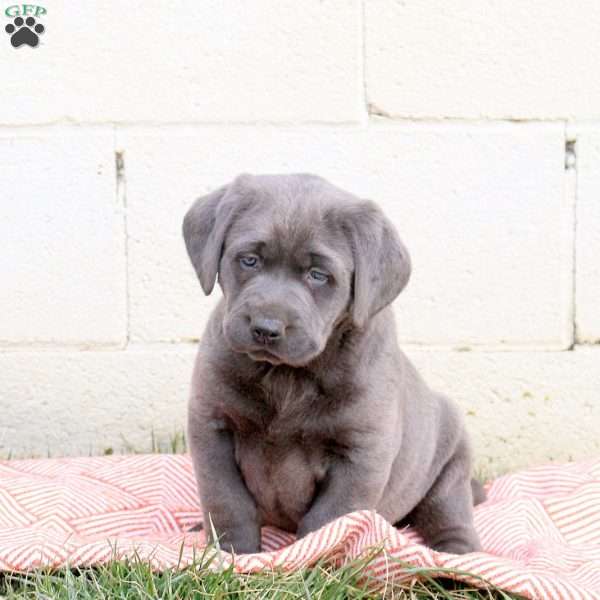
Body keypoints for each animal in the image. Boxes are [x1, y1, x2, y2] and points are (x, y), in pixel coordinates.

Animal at [183, 176, 482, 556]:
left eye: (318, 274)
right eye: (249, 260)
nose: (266, 328)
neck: (287, 375)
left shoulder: (362, 453)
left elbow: (329, 519)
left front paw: (312, 557)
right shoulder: (212, 425)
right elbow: (226, 499)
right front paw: (234, 553)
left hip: (451, 462)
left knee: (449, 512)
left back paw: (455, 554)